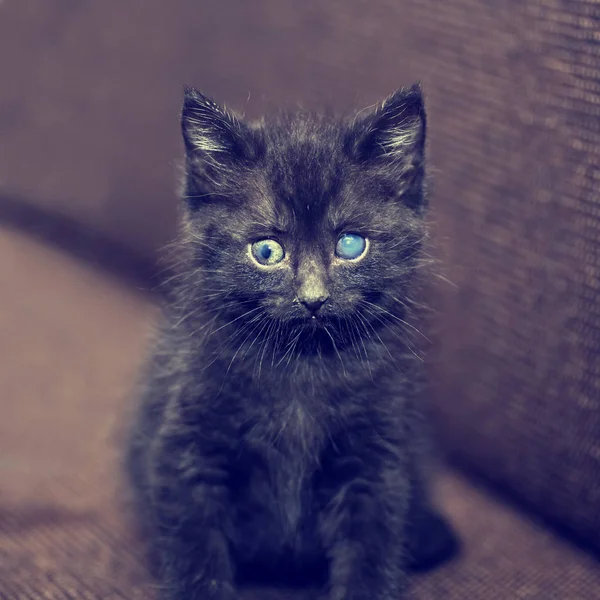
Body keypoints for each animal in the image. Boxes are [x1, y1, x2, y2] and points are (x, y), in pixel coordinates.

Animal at [125, 84, 454, 600]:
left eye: (350, 245)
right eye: (266, 251)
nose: (313, 298)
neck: (302, 364)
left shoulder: (376, 456)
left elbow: (371, 549)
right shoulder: (187, 446)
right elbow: (195, 546)